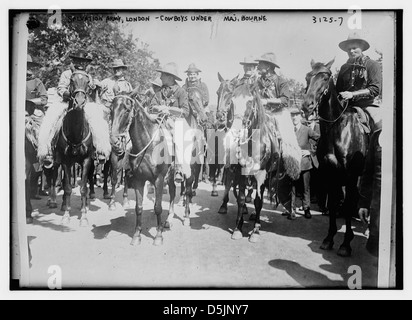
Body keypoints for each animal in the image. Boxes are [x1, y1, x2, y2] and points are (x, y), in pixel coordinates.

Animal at [110, 95, 178, 245]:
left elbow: (158, 207)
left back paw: (168, 220)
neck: (147, 145)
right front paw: (137, 235)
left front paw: (158, 236)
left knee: (172, 192)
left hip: (171, 174)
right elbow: (139, 208)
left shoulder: (159, 179)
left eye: (127, 110)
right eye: (111, 110)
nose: (114, 141)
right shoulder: (138, 180)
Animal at [302, 58, 370, 256]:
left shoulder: (350, 177)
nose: (307, 105)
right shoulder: (329, 174)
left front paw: (346, 244)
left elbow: (347, 205)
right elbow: (333, 204)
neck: (338, 130)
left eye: (325, 77)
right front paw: (329, 238)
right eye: (307, 76)